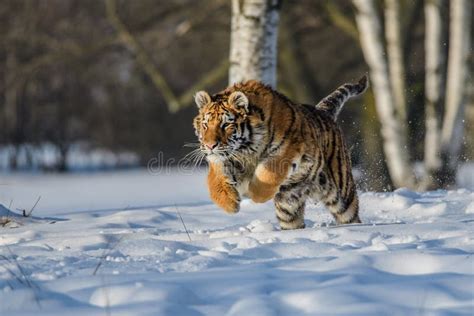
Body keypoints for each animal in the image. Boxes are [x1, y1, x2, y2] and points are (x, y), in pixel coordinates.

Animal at [191, 76, 368, 230]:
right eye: (205, 125)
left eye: (226, 125)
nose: (209, 145)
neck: (246, 149)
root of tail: (323, 111)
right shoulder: (225, 159)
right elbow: (216, 180)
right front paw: (229, 203)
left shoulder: (287, 149)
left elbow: (268, 173)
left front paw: (253, 193)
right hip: (288, 207)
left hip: (342, 195)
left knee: (350, 216)